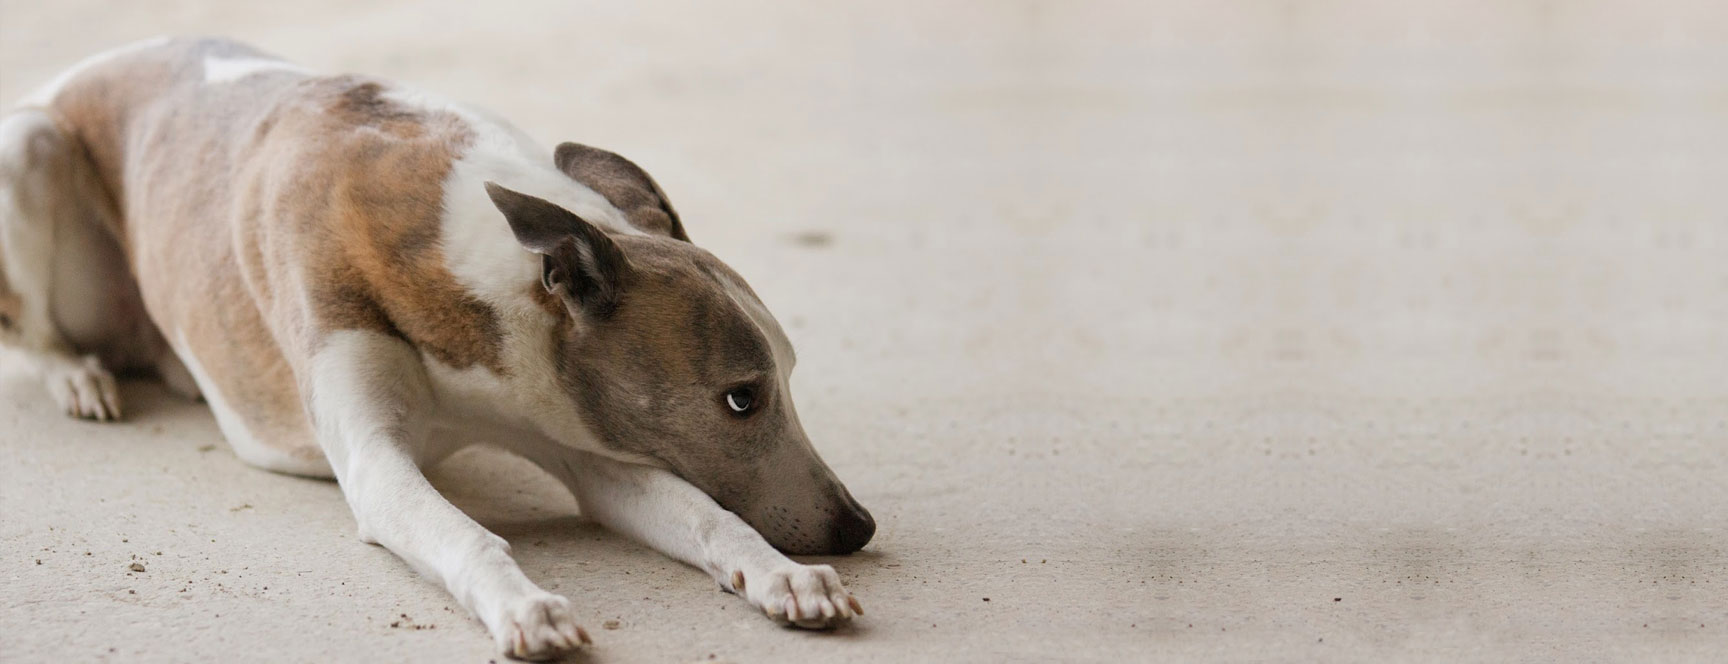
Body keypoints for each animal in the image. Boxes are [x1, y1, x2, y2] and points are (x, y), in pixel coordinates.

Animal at [3, 37, 877, 664]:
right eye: (741, 397)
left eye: (785, 378)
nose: (857, 526)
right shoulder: (377, 464)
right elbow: (464, 533)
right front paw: (525, 607)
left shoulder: (589, 445)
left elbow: (706, 518)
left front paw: (785, 577)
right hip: (29, 146)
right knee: (31, 328)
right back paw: (78, 377)